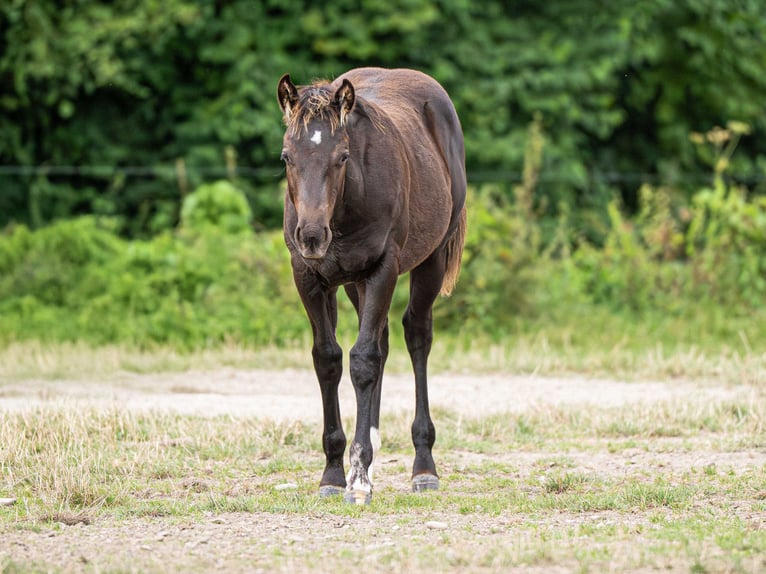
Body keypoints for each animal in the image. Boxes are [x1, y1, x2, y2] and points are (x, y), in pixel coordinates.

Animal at [277, 67, 466, 504]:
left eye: (342, 157)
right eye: (286, 156)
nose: (311, 236)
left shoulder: (383, 269)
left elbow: (362, 361)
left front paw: (359, 479)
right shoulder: (309, 277)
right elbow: (328, 359)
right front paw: (333, 473)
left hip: (428, 262)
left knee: (416, 336)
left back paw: (423, 467)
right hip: (354, 285)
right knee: (381, 341)